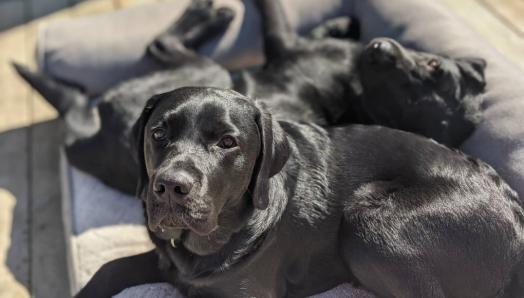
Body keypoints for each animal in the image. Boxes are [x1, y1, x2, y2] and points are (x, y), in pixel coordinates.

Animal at [13, 0, 488, 196]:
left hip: (209, 73)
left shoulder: (281, 40)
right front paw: (340, 23)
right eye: (434, 66)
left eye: (414, 89)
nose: (382, 47)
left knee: (159, 43)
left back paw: (211, 13)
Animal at [77, 84, 524, 298]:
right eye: (158, 134)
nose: (170, 186)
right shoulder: (166, 259)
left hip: (369, 219)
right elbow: (107, 268)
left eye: (227, 142)